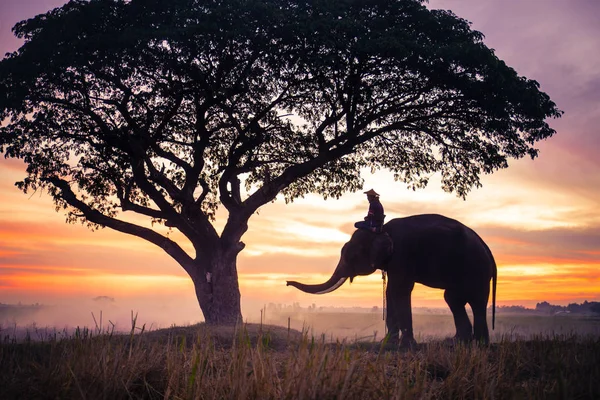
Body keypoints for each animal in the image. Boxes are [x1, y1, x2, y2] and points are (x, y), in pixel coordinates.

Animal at [286, 212, 496, 346]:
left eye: (350, 256)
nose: (287, 282)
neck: (381, 229)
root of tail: (487, 249)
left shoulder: (402, 254)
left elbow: (399, 290)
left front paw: (406, 344)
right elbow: (391, 292)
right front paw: (387, 342)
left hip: (475, 269)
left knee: (474, 301)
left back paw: (479, 343)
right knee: (453, 298)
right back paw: (460, 341)